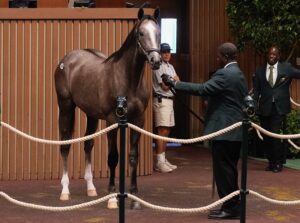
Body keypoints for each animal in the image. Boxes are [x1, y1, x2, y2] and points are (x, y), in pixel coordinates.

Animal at [54, 7, 162, 209]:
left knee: (88, 144)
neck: (127, 79)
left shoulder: (138, 121)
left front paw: (134, 197)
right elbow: (113, 157)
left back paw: (91, 188)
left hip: (91, 115)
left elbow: (133, 156)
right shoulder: (112, 121)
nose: (156, 60)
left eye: (158, 32)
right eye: (141, 33)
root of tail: (67, 59)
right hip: (66, 107)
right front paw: (112, 197)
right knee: (65, 145)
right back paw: (65, 191)